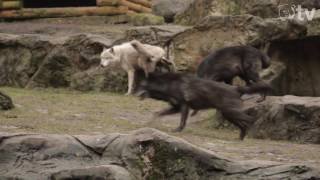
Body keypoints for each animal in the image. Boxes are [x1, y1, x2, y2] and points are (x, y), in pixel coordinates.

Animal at [136, 72, 272, 140]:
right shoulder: (176, 107)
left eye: (140, 85)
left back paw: (250, 134)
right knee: (243, 124)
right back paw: (240, 138)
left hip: (231, 113)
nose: (133, 93)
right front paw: (149, 123)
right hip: (228, 114)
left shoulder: (184, 106)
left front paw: (177, 130)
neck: (168, 84)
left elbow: (182, 121)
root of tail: (236, 88)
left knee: (250, 120)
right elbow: (158, 113)